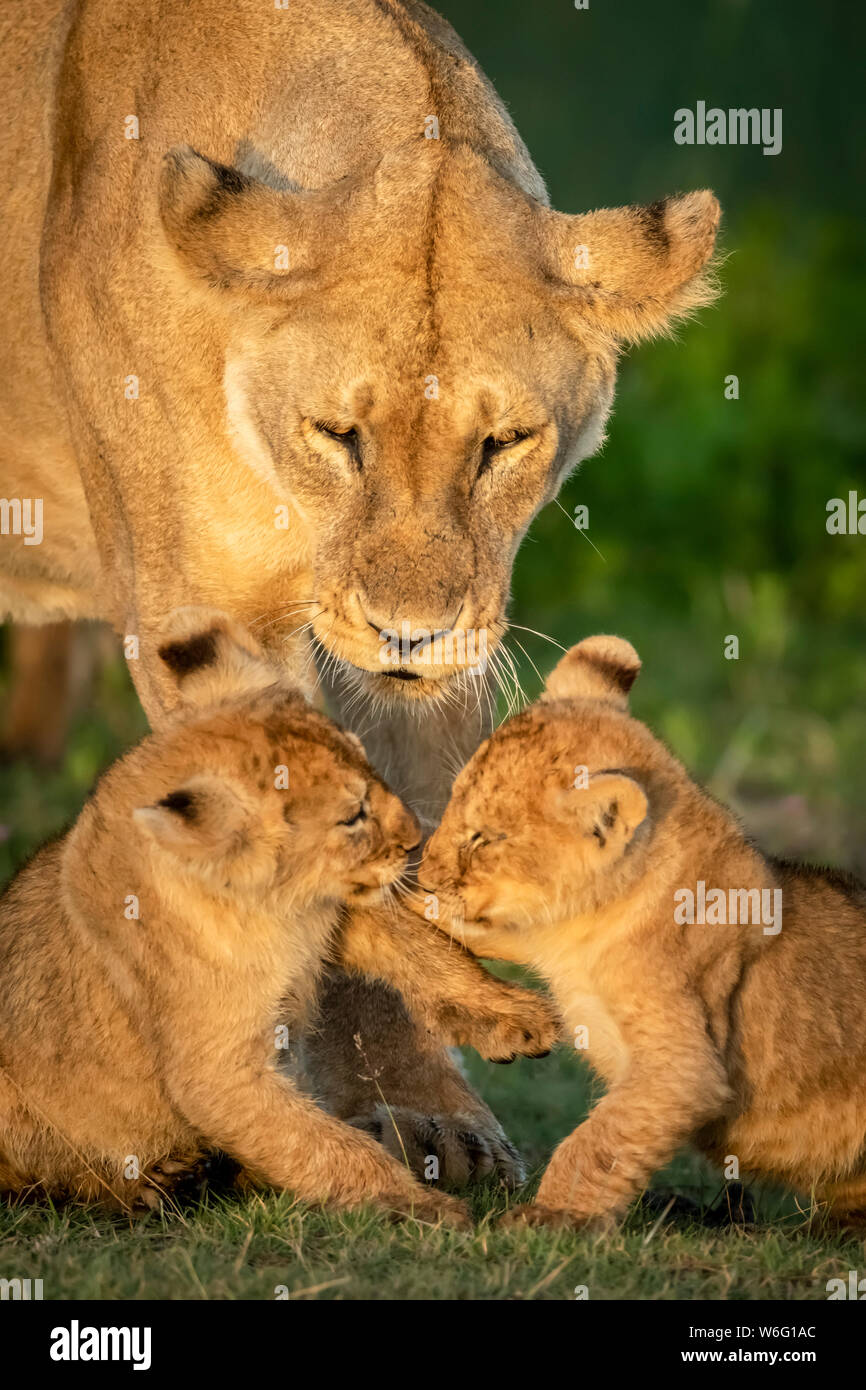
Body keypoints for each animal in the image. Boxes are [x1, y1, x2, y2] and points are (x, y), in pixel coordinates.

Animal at [0, 609, 558, 1221]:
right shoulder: (218, 1073)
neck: (279, 904)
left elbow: (428, 953)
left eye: (367, 761)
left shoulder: (336, 915)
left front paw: (517, 1016)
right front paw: (421, 1207)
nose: (416, 837)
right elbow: (323, 1145)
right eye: (352, 816)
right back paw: (162, 1182)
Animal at [417, 634, 866, 1226]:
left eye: (485, 838)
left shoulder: (683, 1066)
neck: (589, 927)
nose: (424, 871)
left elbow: (597, 1141)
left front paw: (550, 1216)